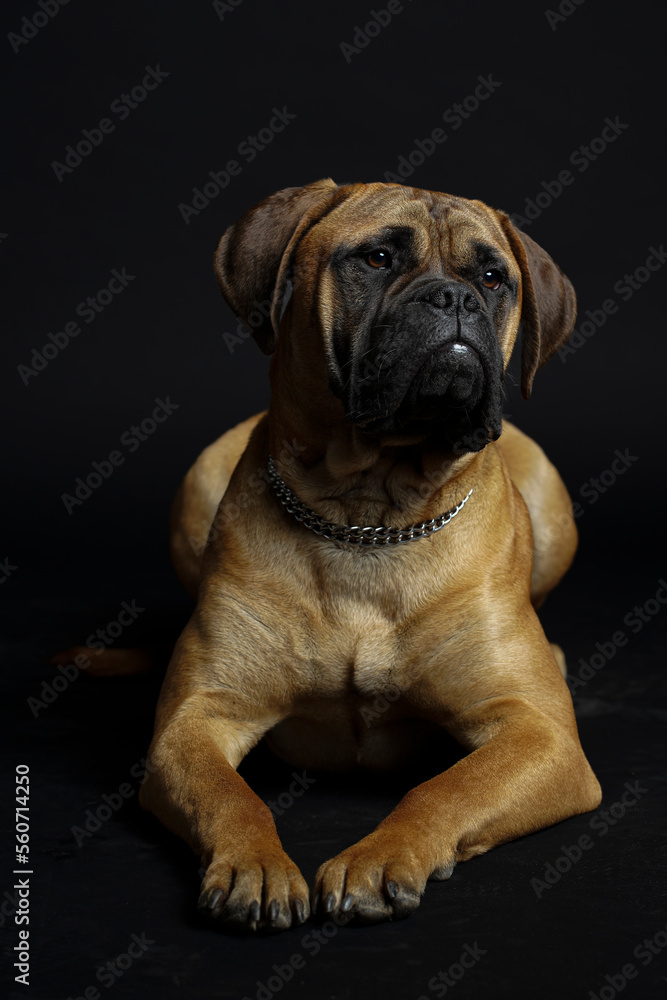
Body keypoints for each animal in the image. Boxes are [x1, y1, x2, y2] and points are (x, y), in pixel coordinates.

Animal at [138, 178, 604, 928]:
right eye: (377, 258)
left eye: (492, 278)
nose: (452, 299)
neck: (368, 518)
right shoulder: (195, 722)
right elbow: (231, 796)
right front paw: (254, 864)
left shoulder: (542, 739)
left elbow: (446, 788)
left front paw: (382, 856)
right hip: (196, 482)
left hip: (553, 502)